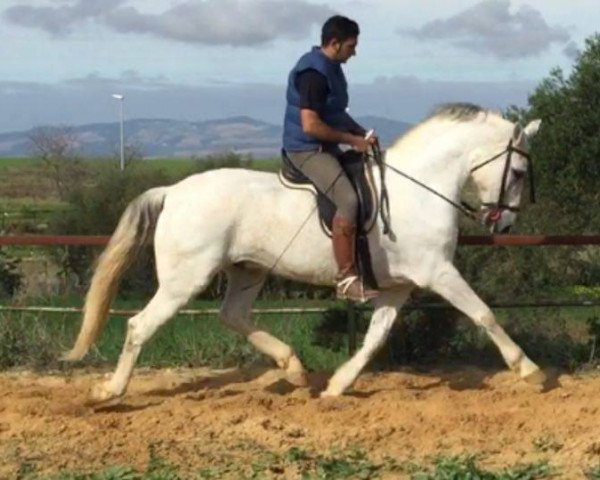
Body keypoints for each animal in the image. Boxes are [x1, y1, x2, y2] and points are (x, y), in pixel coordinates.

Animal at [64, 104, 544, 402]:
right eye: (519, 172)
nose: (505, 224)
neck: (420, 188)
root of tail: (173, 191)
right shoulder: (438, 272)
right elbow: (484, 314)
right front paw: (529, 370)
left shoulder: (399, 286)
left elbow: (375, 338)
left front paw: (337, 386)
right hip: (186, 279)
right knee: (140, 326)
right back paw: (111, 391)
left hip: (247, 270)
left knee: (233, 316)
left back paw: (292, 367)